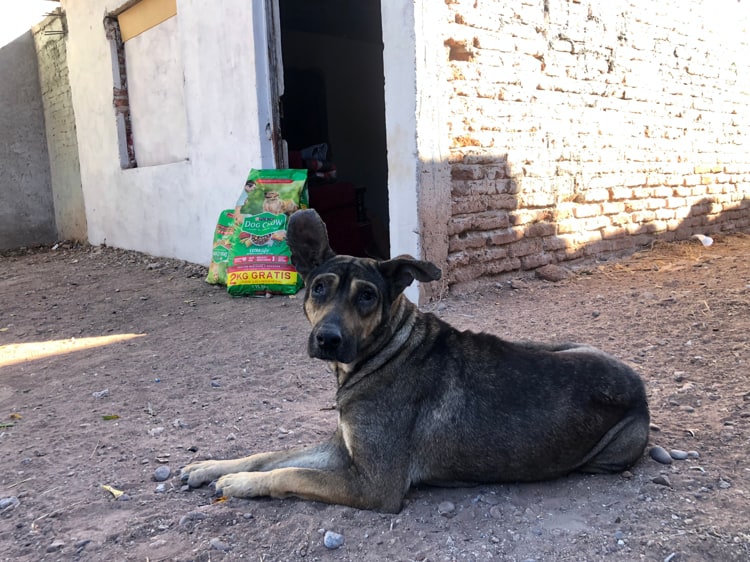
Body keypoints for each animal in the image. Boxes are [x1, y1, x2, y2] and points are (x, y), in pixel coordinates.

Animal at [182, 208, 652, 510]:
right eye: (319, 287)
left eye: (367, 297)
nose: (327, 339)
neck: (384, 352)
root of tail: (640, 386)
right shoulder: (340, 449)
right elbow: (269, 455)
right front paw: (212, 466)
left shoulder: (374, 484)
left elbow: (289, 474)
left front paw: (238, 483)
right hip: (553, 343)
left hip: (611, 454)